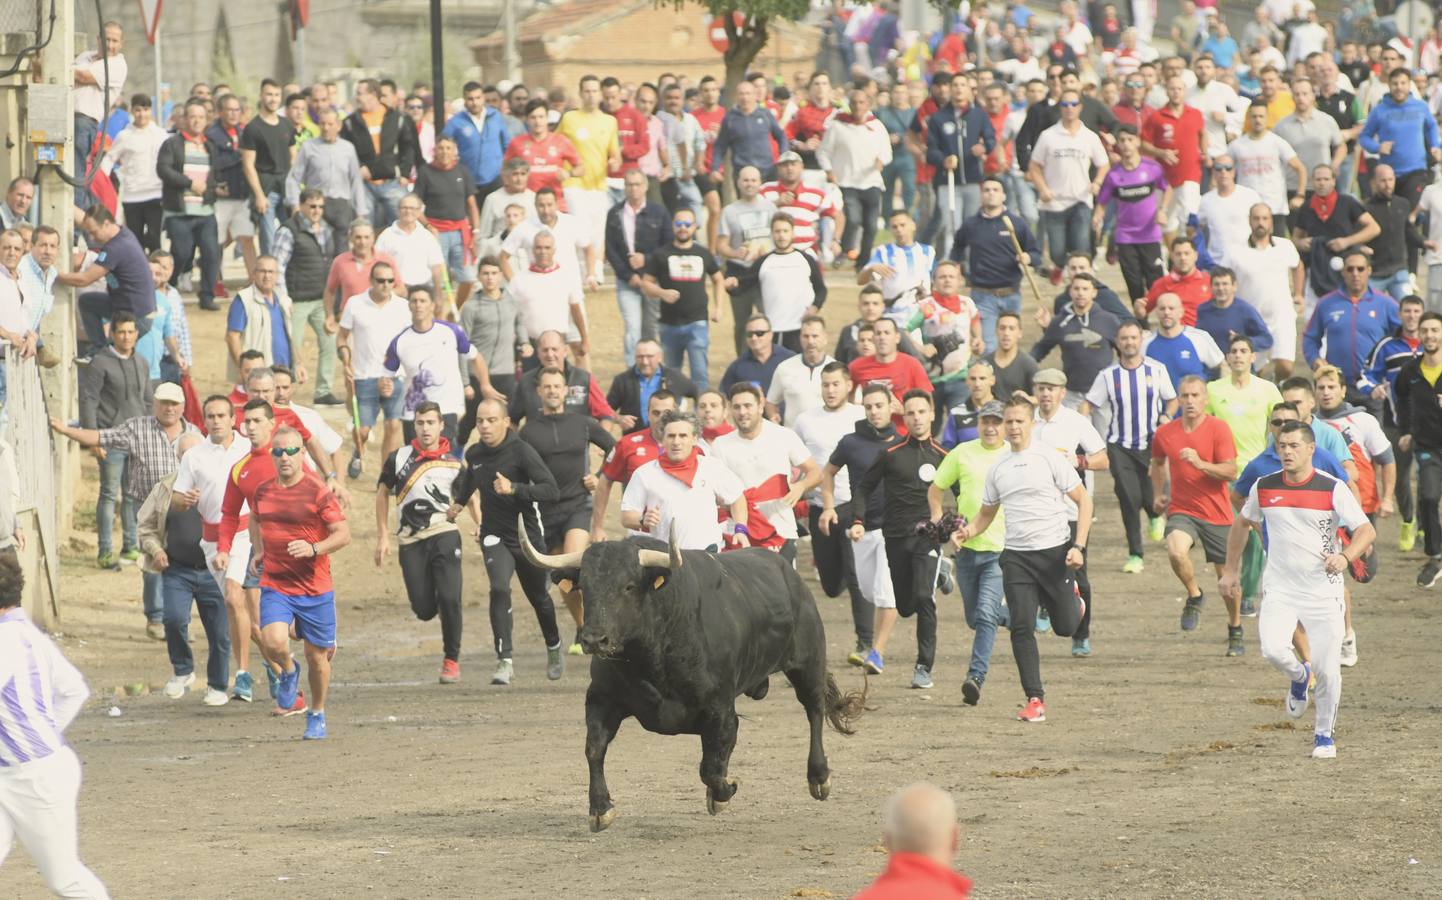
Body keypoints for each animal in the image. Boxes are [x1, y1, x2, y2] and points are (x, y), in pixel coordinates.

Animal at [527, 525, 870, 830]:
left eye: (628, 585)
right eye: (584, 586)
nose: (594, 639)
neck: (651, 657)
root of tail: (791, 575)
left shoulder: (718, 706)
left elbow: (710, 767)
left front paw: (723, 792)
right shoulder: (601, 698)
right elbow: (594, 748)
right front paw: (600, 808)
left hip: (807, 664)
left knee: (814, 710)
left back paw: (819, 777)